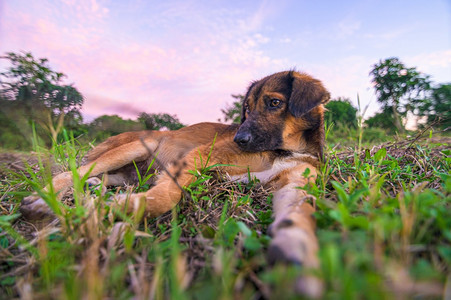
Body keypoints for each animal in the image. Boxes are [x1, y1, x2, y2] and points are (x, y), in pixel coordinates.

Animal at [21, 71, 330, 298]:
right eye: (246, 108)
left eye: (274, 103)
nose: (238, 138)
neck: (284, 150)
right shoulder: (201, 156)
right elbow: (167, 195)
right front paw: (126, 206)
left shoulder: (295, 184)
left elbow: (300, 216)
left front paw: (298, 255)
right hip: (134, 147)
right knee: (75, 171)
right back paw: (42, 200)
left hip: (131, 172)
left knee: (100, 177)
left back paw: (93, 188)